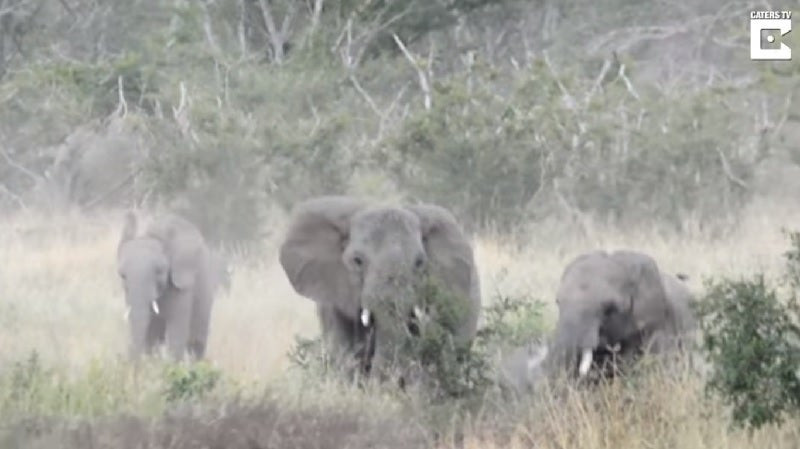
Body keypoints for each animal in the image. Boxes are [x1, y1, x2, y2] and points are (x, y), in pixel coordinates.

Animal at [115, 211, 219, 360]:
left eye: (159, 271)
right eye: (122, 275)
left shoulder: (182, 284)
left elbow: (176, 332)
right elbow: (149, 335)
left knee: (196, 345)